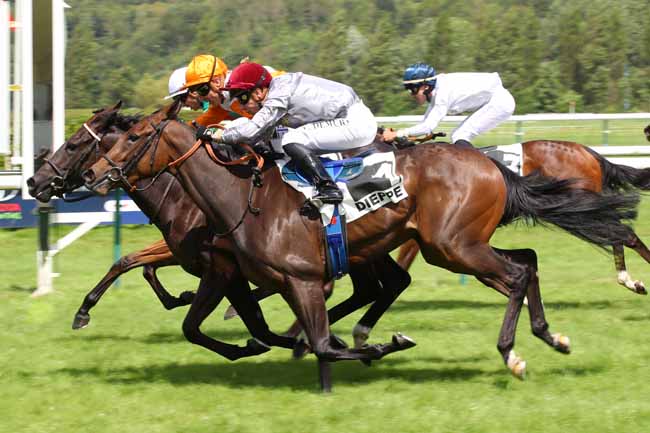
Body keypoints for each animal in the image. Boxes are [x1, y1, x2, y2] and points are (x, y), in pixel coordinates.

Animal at [394, 138, 650, 294]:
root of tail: (590, 153)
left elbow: (402, 261)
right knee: (619, 233)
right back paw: (629, 280)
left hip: (581, 207)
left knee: (623, 234)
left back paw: (630, 280)